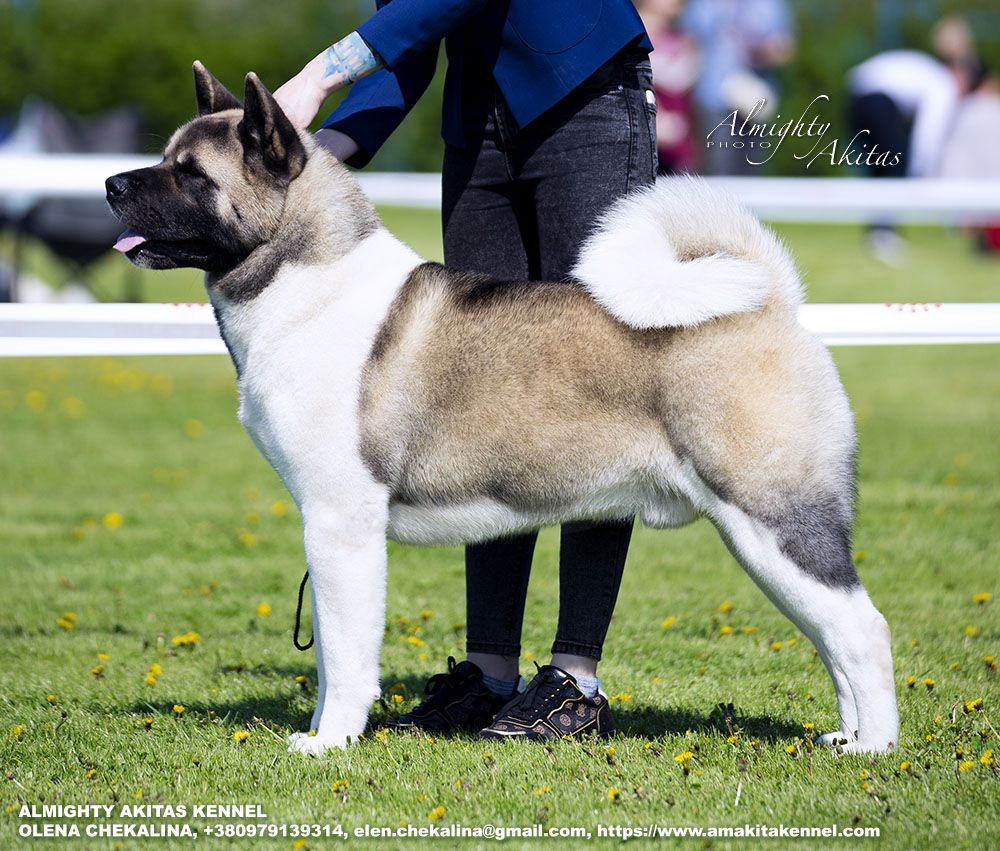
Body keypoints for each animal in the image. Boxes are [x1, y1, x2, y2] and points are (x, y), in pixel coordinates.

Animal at [107, 65, 900, 760]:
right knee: (833, 638)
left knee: (863, 629)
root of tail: (771, 302)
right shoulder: (327, 527)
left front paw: (329, 740)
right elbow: (333, 654)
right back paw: (846, 735)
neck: (306, 279)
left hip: (775, 519)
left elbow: (348, 651)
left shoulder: (341, 523)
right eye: (166, 158)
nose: (112, 183)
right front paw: (327, 727)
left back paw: (876, 748)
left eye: (192, 174)